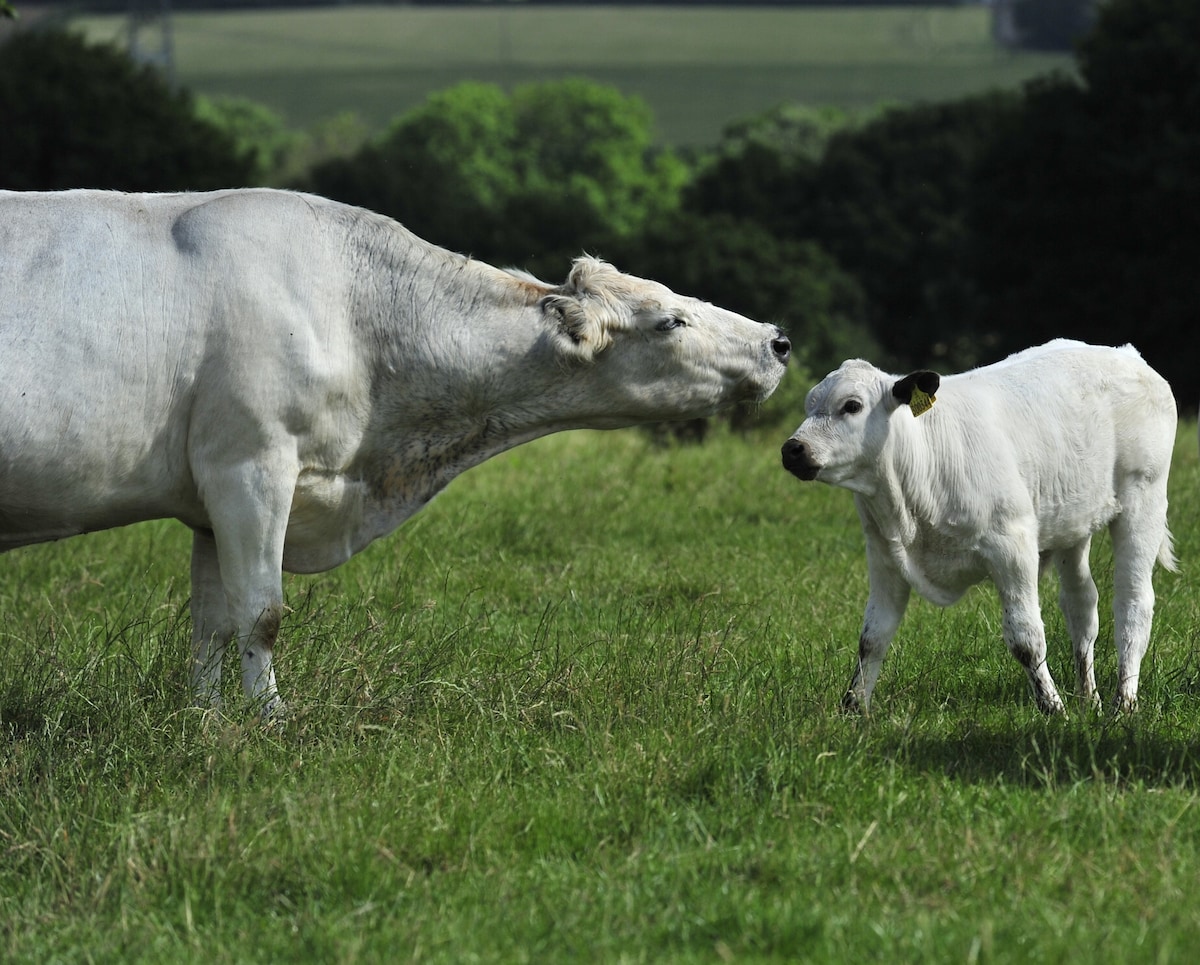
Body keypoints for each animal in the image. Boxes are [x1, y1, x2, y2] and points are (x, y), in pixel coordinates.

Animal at [0, 190, 792, 715]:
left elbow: (210, 624)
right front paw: (270, 721)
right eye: (670, 320)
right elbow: (261, 612)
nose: (778, 339)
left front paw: (207, 719)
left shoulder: (210, 494)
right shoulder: (251, 465)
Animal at [782, 340, 1176, 715]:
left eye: (851, 406)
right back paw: (1089, 699)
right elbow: (873, 637)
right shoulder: (884, 556)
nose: (792, 448)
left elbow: (1026, 638)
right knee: (1081, 605)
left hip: (1144, 502)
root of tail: (1127, 355)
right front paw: (853, 707)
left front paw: (1052, 707)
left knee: (1133, 602)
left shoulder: (1013, 548)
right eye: (809, 405)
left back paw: (1123, 702)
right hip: (1073, 524)